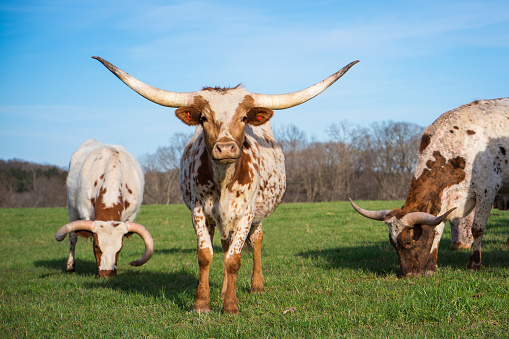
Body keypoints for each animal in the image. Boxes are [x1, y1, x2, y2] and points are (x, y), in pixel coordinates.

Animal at [55, 139, 154, 278]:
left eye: (120, 248)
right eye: (96, 246)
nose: (107, 274)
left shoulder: (130, 216)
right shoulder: (85, 213)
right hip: (71, 207)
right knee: (73, 238)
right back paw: (70, 266)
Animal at [94, 55, 358, 314]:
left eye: (243, 117)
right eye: (203, 118)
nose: (226, 148)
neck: (223, 182)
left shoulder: (245, 215)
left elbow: (234, 260)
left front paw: (231, 306)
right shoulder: (199, 212)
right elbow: (205, 255)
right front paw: (202, 304)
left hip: (257, 215)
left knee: (256, 241)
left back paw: (257, 286)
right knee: (223, 244)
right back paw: (221, 290)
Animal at [350, 97, 508, 276]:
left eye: (409, 242)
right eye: (392, 243)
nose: (407, 274)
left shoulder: (487, 191)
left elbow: (477, 229)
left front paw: (474, 264)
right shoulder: (445, 197)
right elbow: (437, 228)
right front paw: (430, 267)